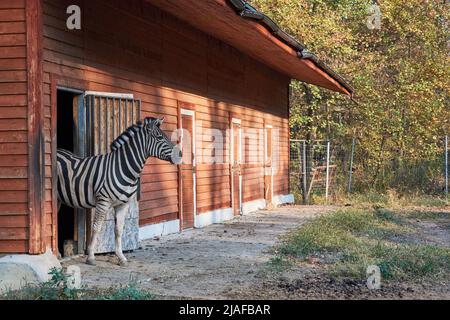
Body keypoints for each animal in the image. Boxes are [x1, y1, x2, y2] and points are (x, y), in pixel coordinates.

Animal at [57, 117, 182, 264]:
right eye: (159, 137)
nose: (180, 155)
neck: (123, 167)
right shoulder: (103, 201)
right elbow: (97, 227)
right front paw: (91, 256)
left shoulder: (123, 204)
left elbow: (118, 230)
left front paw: (121, 256)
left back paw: (57, 254)